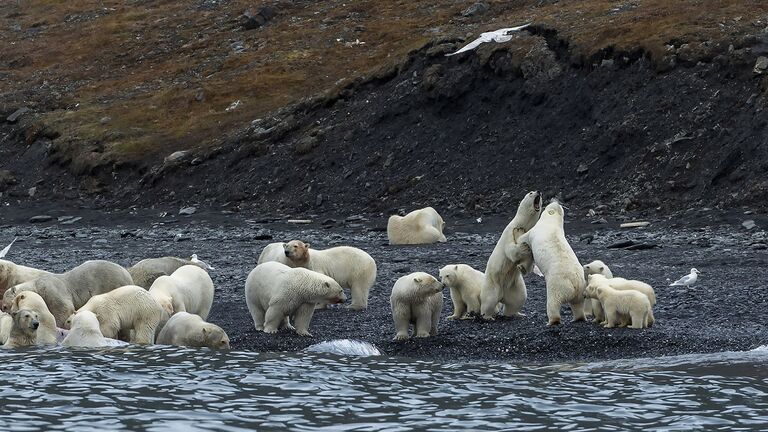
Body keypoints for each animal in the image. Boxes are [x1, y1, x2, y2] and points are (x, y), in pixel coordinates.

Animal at [1, 258, 133, 326]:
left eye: (5, 306)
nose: (3, 309)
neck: (36, 285)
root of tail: (127, 274)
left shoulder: (51, 289)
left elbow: (63, 308)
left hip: (112, 282)